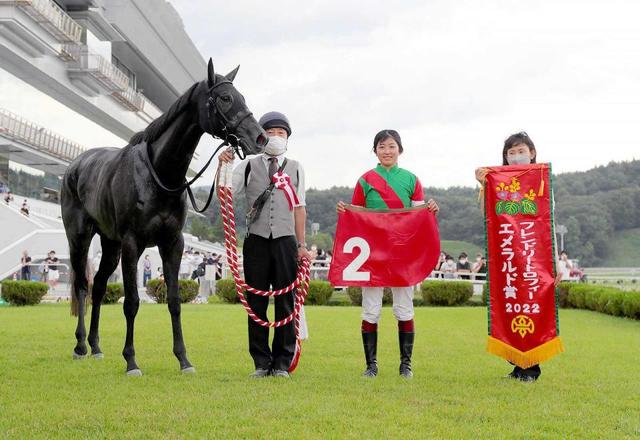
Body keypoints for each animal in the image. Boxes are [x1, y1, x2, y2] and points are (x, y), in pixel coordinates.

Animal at [61, 58, 266, 374]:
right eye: (225, 98)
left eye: (241, 96)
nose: (259, 137)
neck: (159, 173)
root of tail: (75, 167)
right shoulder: (132, 243)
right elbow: (132, 302)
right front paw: (131, 360)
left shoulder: (172, 242)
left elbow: (174, 300)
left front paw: (183, 359)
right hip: (80, 239)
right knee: (82, 286)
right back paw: (81, 345)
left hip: (110, 244)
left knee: (99, 287)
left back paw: (95, 346)